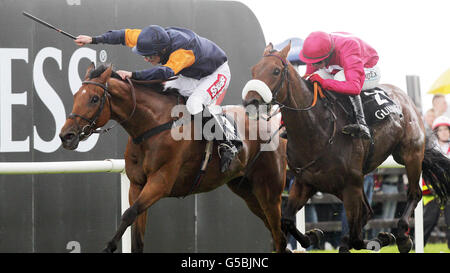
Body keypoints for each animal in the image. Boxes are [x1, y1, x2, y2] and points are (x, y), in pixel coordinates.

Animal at [59, 62, 288, 252]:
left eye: (94, 98)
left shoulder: (161, 181)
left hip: (269, 193)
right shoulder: (137, 185)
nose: (66, 136)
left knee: (280, 237)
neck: (152, 125)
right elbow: (137, 236)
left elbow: (129, 213)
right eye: (76, 96)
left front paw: (109, 246)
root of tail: (274, 125)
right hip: (247, 191)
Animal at [243, 43, 450, 253]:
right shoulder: (305, 182)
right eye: (253, 70)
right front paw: (313, 236)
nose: (250, 102)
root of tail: (405, 98)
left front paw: (382, 238)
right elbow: (287, 220)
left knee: (414, 194)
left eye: (276, 71)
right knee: (367, 213)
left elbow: (357, 238)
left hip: (410, 154)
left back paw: (402, 236)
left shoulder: (350, 185)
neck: (315, 131)